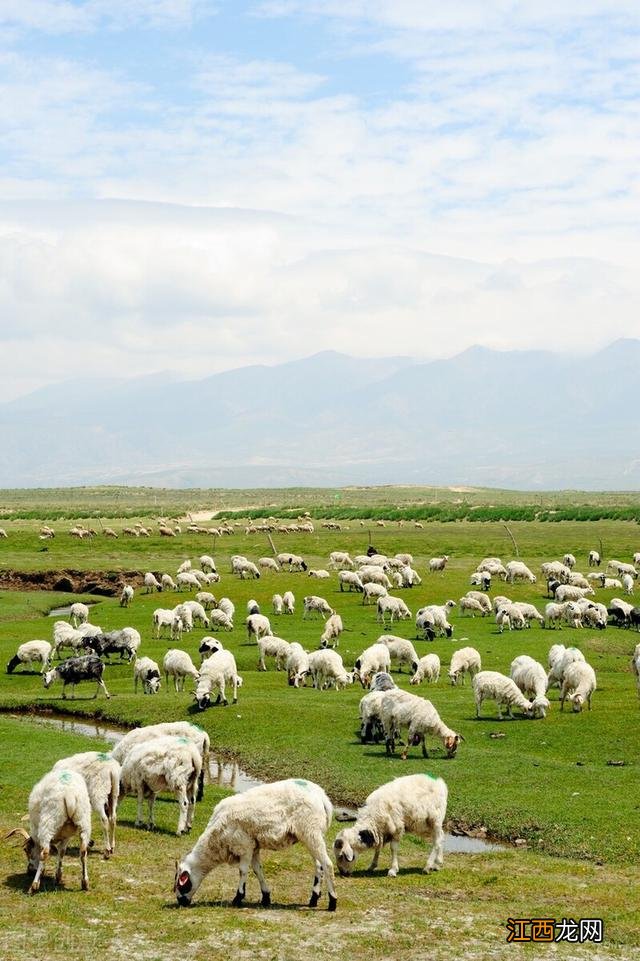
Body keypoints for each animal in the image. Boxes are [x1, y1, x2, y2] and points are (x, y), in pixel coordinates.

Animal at [8, 764, 91, 892]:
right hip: (84, 821)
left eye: (26, 850)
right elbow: (61, 852)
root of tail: (70, 794)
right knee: (83, 851)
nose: (29, 871)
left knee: (45, 853)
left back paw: (34, 886)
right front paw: (58, 876)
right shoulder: (66, 835)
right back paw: (85, 883)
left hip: (49, 821)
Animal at [172, 776, 338, 912]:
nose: (181, 902)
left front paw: (238, 898)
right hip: (312, 834)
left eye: (181, 884)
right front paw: (266, 897)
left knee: (327, 864)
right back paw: (313, 899)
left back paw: (332, 902)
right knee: (319, 866)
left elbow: (243, 871)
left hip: (311, 831)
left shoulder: (244, 844)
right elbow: (258, 870)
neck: (215, 840)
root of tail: (322, 797)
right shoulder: (254, 846)